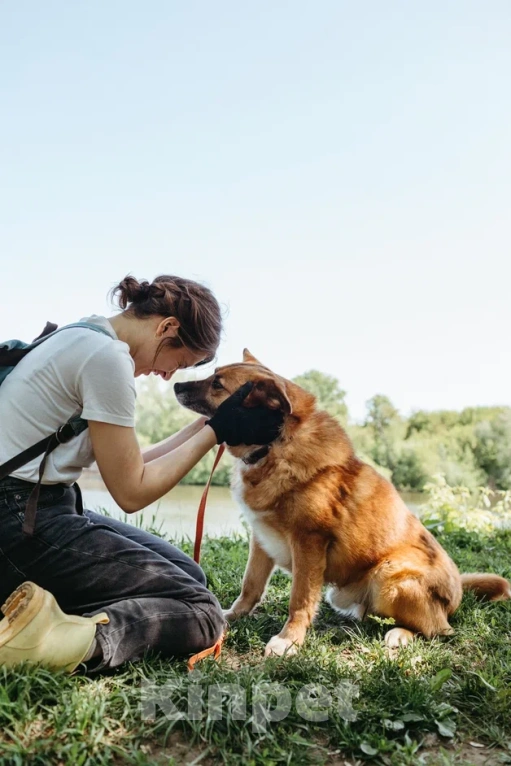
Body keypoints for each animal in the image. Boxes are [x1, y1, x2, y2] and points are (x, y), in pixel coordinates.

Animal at [175, 354, 508, 660]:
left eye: (217, 384)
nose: (176, 385)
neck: (276, 444)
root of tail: (458, 591)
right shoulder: (261, 538)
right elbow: (251, 585)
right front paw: (230, 616)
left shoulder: (309, 542)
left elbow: (300, 600)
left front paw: (289, 640)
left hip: (390, 576)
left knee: (438, 629)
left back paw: (400, 634)